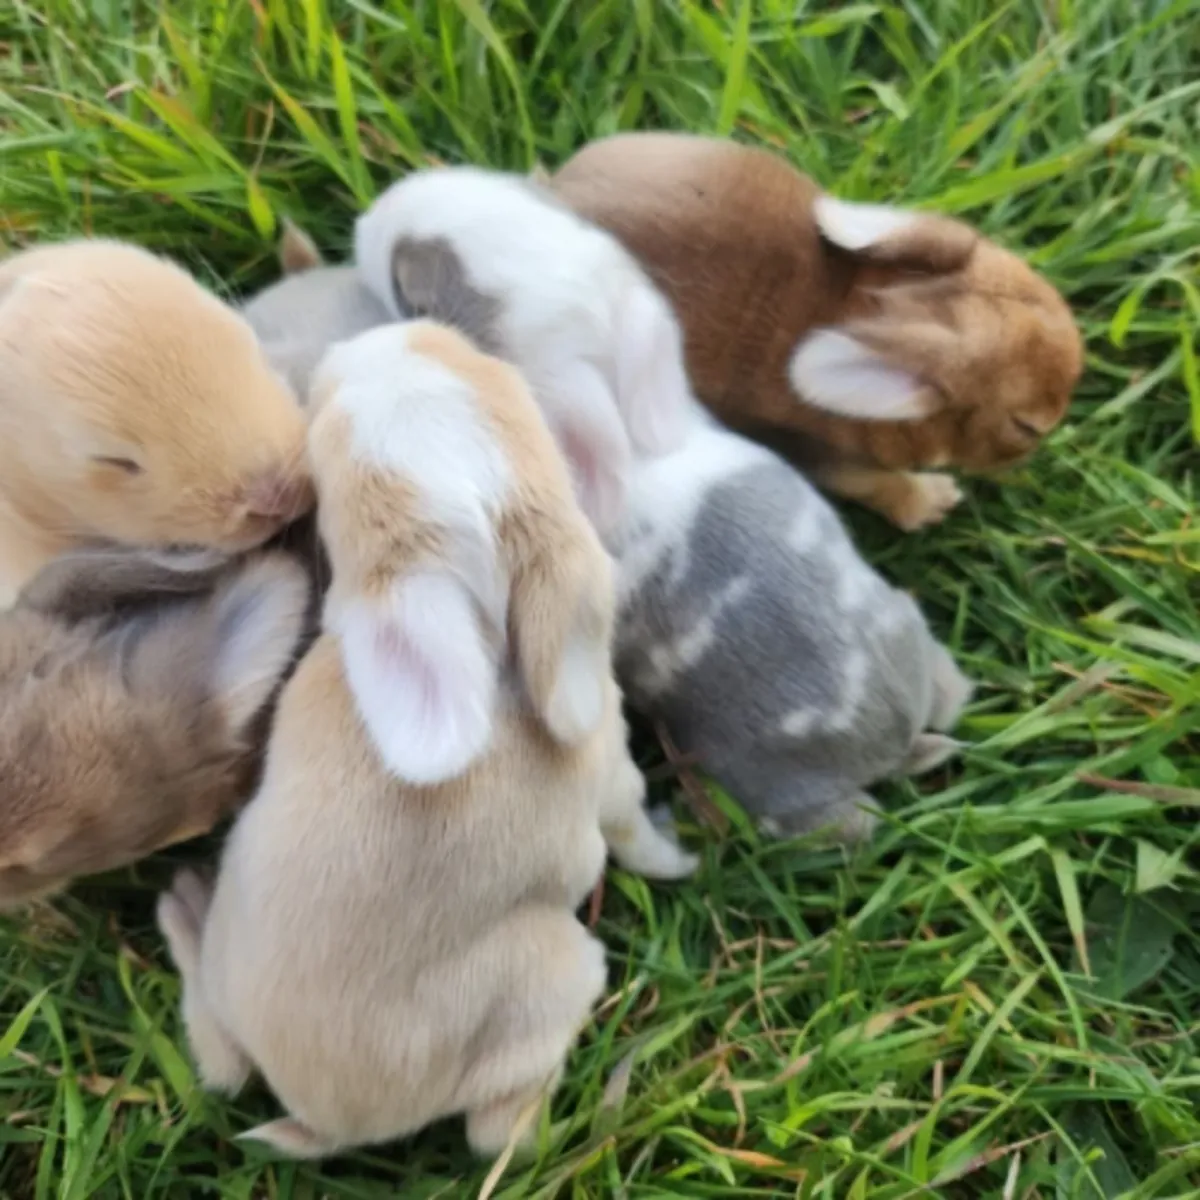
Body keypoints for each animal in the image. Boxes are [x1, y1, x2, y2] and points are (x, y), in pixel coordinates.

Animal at [155, 319, 697, 1162]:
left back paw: (184, 913)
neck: (488, 646)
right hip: (563, 967)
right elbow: (636, 829)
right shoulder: (610, 772)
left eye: (480, 367)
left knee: (223, 1061)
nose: (387, 332)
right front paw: (681, 857)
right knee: (498, 1134)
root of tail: (328, 1124)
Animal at [548, 132, 1084, 531]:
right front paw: (935, 500)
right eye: (1026, 426)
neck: (861, 304)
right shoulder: (827, 457)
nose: (1052, 428)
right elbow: (877, 484)